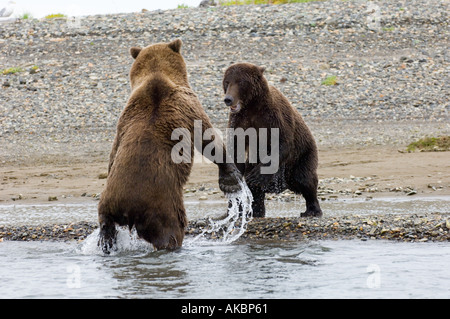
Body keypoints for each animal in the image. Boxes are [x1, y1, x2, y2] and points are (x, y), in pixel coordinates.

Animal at [96, 39, 241, 255]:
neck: (157, 75)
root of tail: (128, 209)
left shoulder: (123, 121)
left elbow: (113, 152)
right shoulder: (188, 105)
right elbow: (208, 138)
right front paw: (231, 178)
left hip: (108, 202)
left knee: (105, 223)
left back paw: (105, 243)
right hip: (164, 206)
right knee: (171, 231)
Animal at [222, 62, 322, 219]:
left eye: (240, 82)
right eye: (227, 82)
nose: (228, 99)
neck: (252, 106)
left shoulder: (274, 116)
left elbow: (283, 143)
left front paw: (258, 176)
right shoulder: (238, 121)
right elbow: (236, 150)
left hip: (303, 154)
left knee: (305, 179)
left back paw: (312, 210)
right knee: (256, 191)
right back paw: (255, 211)